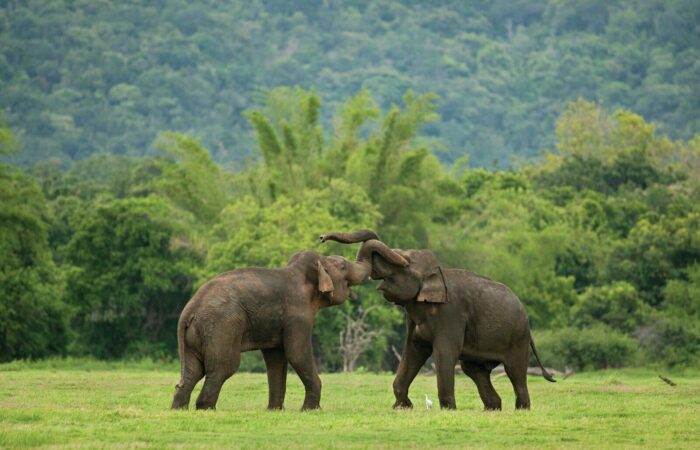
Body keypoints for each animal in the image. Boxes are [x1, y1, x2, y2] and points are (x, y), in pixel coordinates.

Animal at [170, 245, 394, 411]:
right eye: (342, 266)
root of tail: (188, 312)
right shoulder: (297, 314)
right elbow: (297, 354)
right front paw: (310, 410)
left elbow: (276, 358)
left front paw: (274, 410)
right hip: (221, 328)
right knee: (222, 367)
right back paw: (206, 409)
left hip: (197, 335)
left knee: (193, 371)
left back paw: (179, 409)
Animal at [320, 230, 555, 411]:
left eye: (405, 263)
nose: (321, 237)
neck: (437, 274)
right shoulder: (413, 318)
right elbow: (413, 351)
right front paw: (402, 407)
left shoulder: (450, 314)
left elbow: (444, 353)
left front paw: (448, 410)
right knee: (475, 370)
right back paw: (493, 408)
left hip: (517, 338)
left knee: (515, 372)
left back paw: (521, 409)